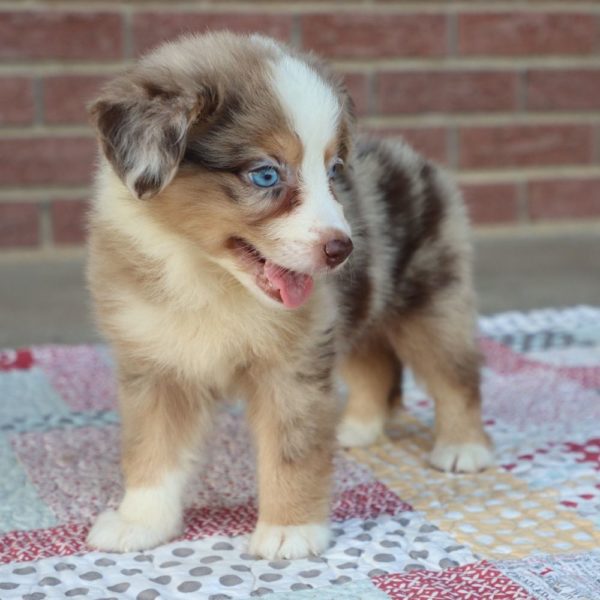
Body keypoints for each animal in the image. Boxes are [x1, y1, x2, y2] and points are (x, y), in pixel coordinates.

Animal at [86, 31, 494, 556]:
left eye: (334, 170)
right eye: (265, 174)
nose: (343, 250)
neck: (206, 275)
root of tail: (418, 159)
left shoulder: (295, 363)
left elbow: (291, 449)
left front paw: (290, 530)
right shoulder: (156, 363)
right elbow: (152, 448)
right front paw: (140, 521)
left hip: (432, 302)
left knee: (456, 374)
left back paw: (464, 447)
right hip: (356, 312)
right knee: (375, 364)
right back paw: (357, 428)